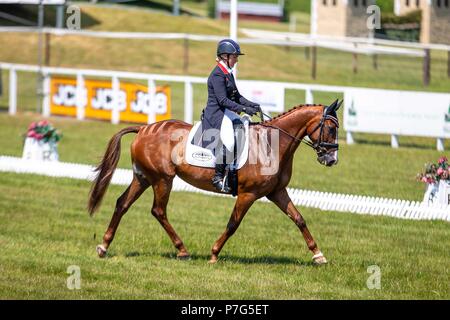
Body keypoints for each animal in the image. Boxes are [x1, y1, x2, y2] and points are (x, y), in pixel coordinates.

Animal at [88, 101, 342, 264]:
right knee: (158, 211)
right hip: (162, 179)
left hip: (142, 178)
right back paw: (182, 250)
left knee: (122, 204)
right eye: (330, 128)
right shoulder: (248, 194)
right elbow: (233, 224)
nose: (331, 159)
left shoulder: (277, 192)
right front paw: (213, 254)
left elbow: (299, 219)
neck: (271, 144)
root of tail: (143, 129)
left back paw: (103, 247)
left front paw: (318, 255)